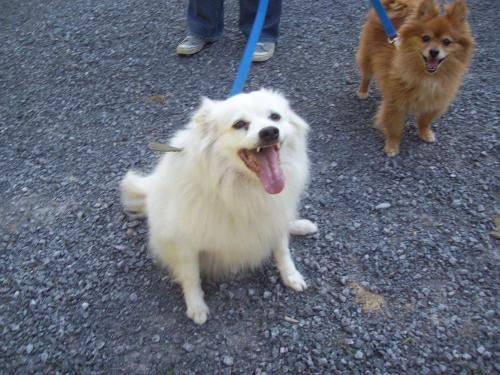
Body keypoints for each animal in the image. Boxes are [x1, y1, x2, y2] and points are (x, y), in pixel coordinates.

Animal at [120, 89, 316, 324]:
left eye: (275, 117)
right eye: (239, 124)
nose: (270, 131)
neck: (243, 189)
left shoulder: (274, 216)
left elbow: (282, 250)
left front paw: (291, 276)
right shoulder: (184, 243)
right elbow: (191, 276)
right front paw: (196, 307)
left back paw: (301, 226)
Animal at [356, 0, 472, 157]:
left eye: (447, 42)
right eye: (426, 38)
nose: (434, 51)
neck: (427, 77)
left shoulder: (435, 102)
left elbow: (424, 121)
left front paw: (425, 133)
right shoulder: (395, 104)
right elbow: (394, 128)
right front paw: (392, 146)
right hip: (368, 57)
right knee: (366, 76)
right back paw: (362, 92)